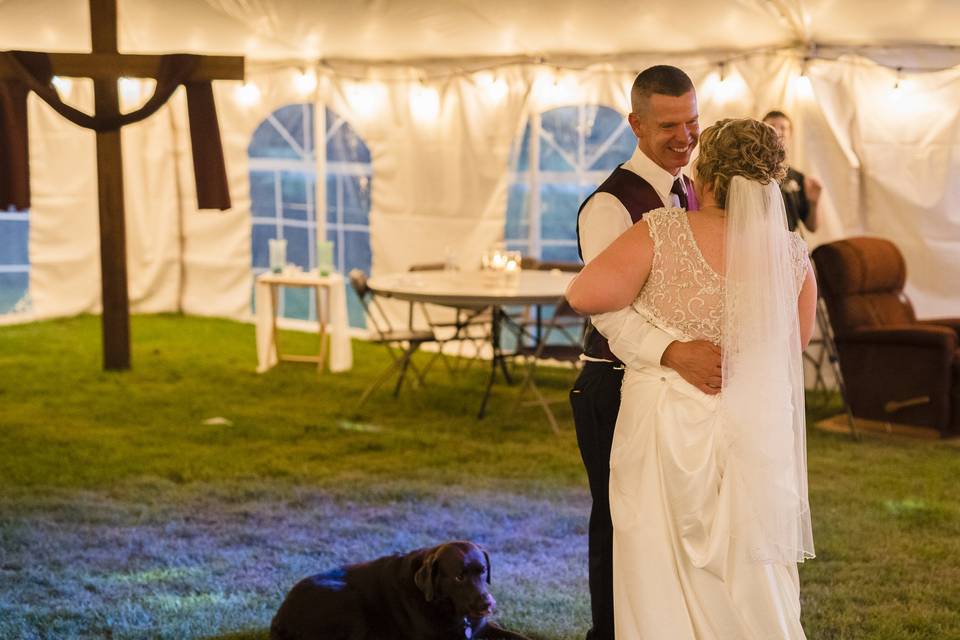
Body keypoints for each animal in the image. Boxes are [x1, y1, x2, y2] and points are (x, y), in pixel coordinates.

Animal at [270, 540, 532, 640]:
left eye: (483, 571)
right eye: (459, 577)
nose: (488, 604)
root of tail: (279, 618)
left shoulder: (483, 627)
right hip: (348, 603)